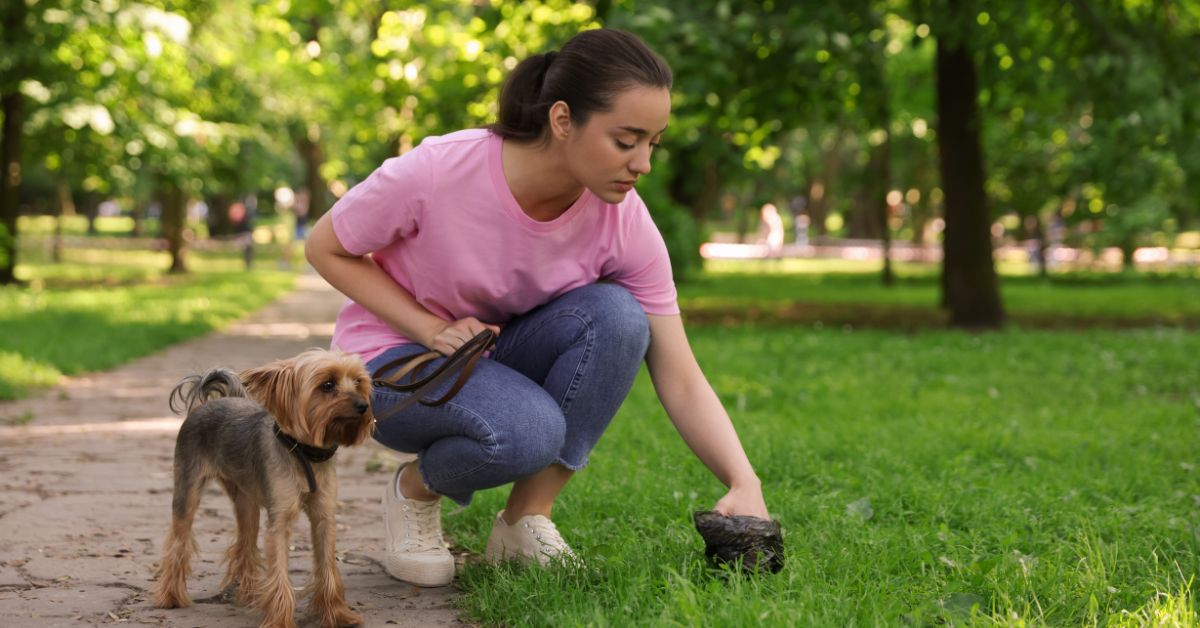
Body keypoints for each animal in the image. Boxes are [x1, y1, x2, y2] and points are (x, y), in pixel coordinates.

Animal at [152, 350, 372, 628]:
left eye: (358, 383)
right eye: (328, 385)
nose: (363, 405)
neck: (303, 453)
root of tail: (209, 403)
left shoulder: (325, 518)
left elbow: (328, 568)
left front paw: (337, 614)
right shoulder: (279, 522)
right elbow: (279, 572)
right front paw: (280, 620)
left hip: (246, 501)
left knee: (245, 543)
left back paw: (248, 596)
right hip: (187, 491)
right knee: (178, 541)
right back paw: (170, 596)